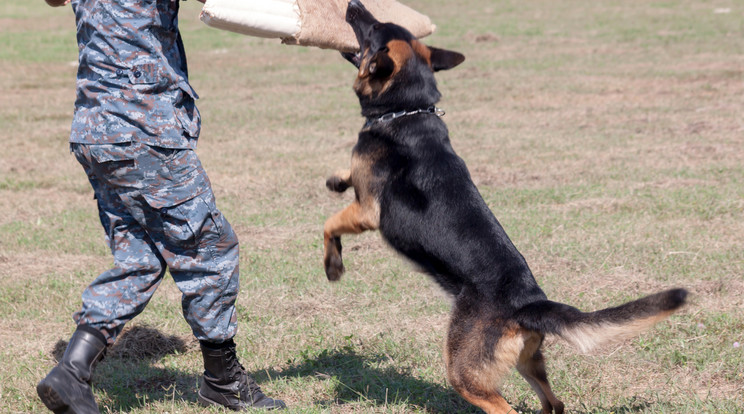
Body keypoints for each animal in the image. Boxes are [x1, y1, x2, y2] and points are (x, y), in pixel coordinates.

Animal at [322, 1, 688, 412]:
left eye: (373, 30)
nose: (353, 6)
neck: (409, 109)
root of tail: (528, 304)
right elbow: (343, 182)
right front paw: (337, 179)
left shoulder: (368, 211)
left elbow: (329, 224)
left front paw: (333, 266)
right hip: (527, 362)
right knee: (554, 403)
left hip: (464, 371)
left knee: (504, 406)